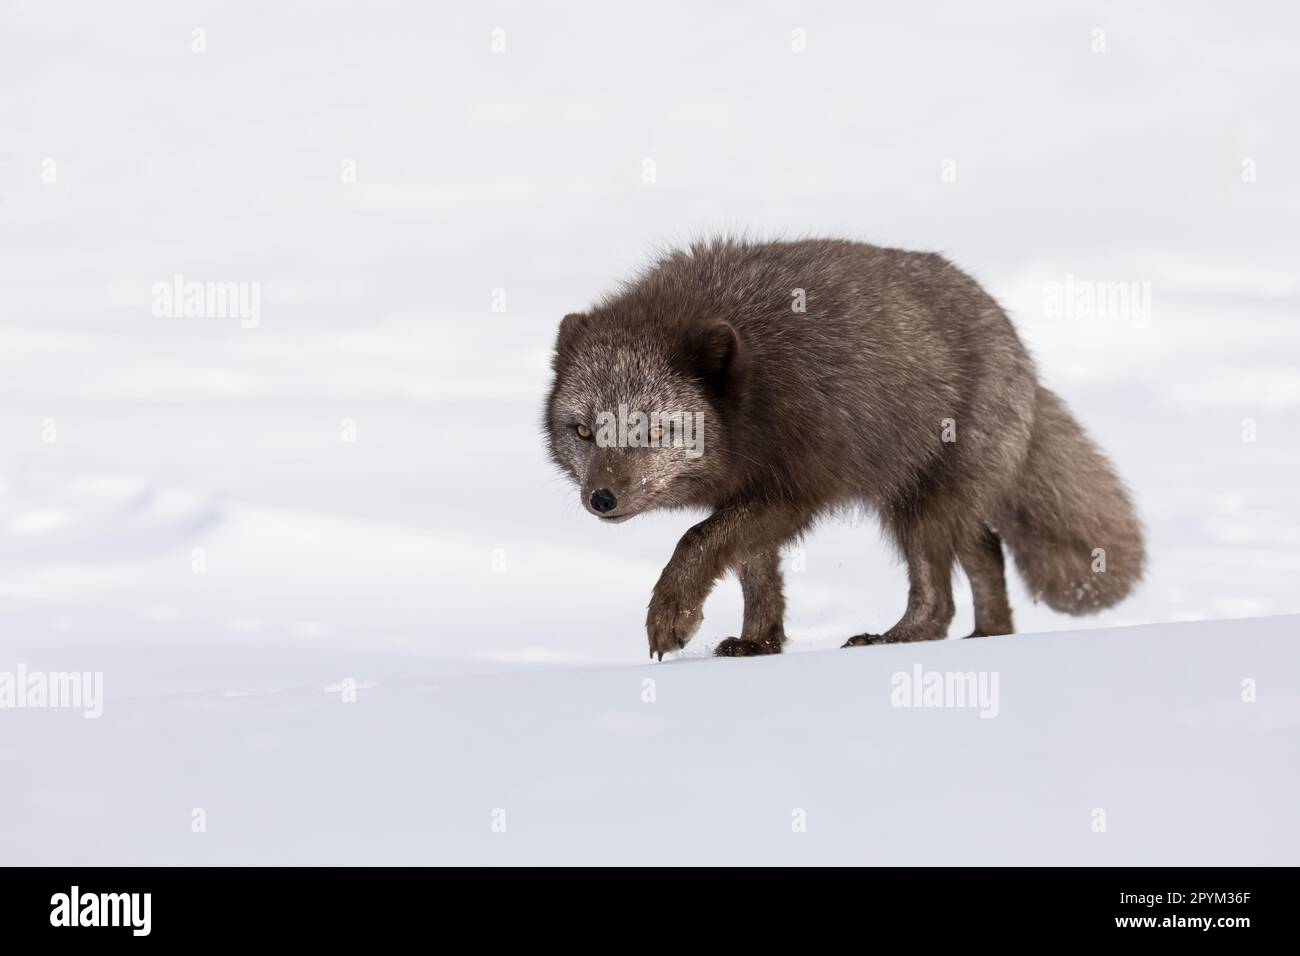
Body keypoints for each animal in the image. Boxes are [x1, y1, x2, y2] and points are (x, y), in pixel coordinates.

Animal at [543, 238, 1144, 658]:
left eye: (652, 431)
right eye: (584, 431)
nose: (601, 499)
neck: (752, 390)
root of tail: (1017, 345)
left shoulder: (791, 491)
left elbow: (698, 540)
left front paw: (670, 617)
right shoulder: (747, 488)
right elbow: (753, 569)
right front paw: (758, 643)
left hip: (920, 501)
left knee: (940, 600)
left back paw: (895, 637)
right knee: (987, 550)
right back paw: (991, 635)